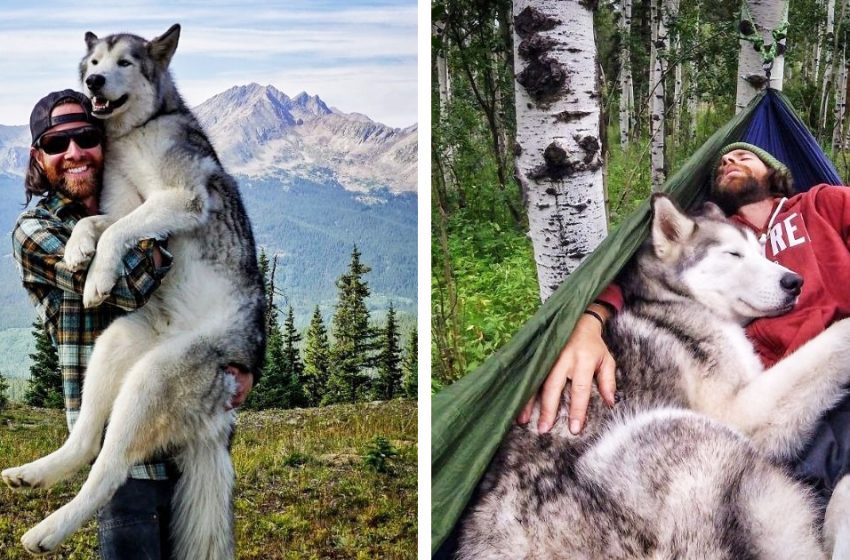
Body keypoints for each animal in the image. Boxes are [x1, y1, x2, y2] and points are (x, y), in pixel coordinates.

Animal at [0, 24, 264, 556]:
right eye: (94, 61)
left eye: (124, 62)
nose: (94, 82)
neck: (134, 134)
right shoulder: (122, 202)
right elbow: (99, 223)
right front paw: (77, 252)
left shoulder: (179, 199)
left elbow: (120, 231)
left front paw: (99, 276)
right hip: (118, 343)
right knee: (86, 440)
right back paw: (34, 474)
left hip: (154, 380)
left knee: (111, 468)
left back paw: (47, 530)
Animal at [460, 194, 848, 560]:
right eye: (733, 254)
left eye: (760, 250)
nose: (794, 281)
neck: (673, 300)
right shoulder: (738, 413)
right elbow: (830, 342)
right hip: (683, 430)